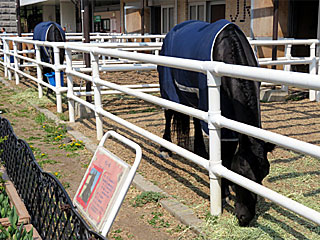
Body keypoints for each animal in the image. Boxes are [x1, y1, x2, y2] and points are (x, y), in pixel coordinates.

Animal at [158, 19, 272, 227]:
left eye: (263, 174)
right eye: (240, 174)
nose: (245, 218)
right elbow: (225, 155)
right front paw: (224, 192)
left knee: (196, 119)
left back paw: (201, 151)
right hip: (168, 87)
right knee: (169, 113)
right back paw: (165, 148)